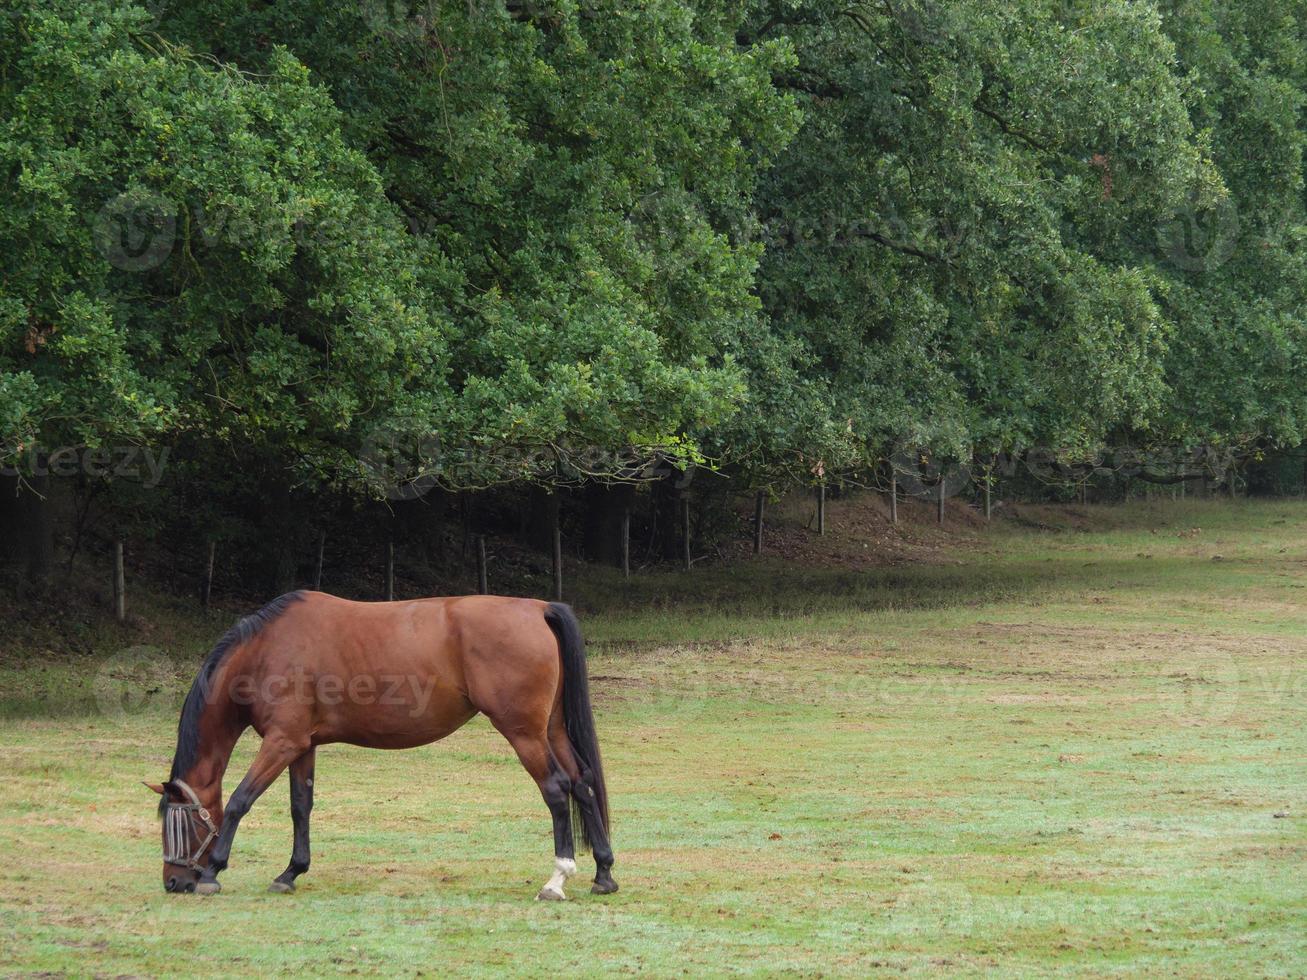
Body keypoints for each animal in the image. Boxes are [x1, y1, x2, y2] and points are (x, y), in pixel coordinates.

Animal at [145, 590, 614, 904]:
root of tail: (537, 607)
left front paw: (214, 871)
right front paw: (291, 872)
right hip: (551, 729)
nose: (174, 882)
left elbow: (241, 800)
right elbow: (301, 807)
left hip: (525, 734)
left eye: (178, 824)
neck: (266, 649)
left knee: (556, 790)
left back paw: (556, 880)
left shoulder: (281, 743)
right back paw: (604, 873)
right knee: (582, 782)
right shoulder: (302, 745)